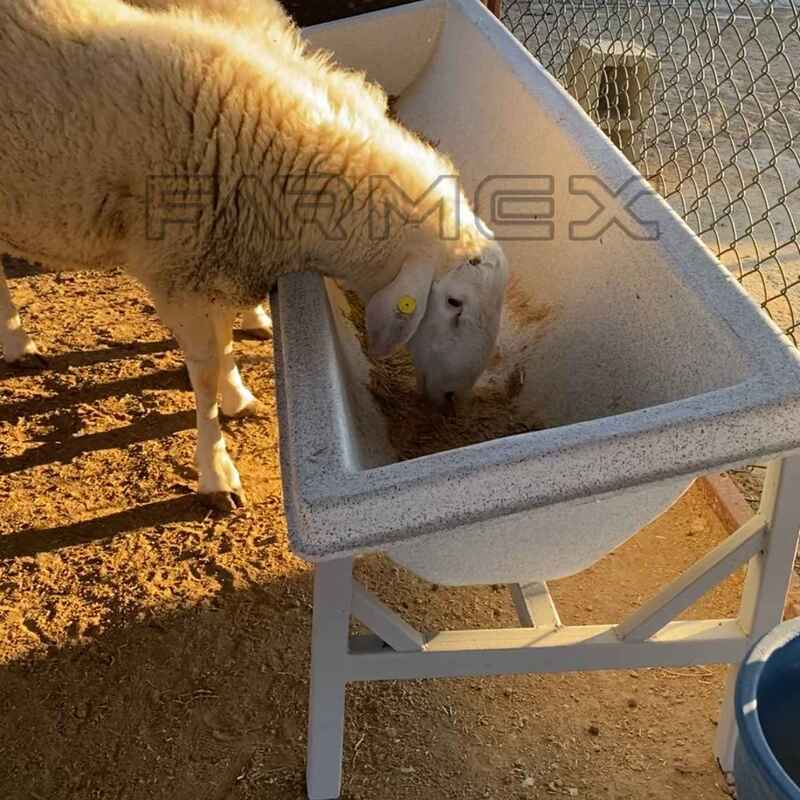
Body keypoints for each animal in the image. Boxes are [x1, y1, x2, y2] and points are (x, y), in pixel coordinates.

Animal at [0, 0, 508, 511]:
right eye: (454, 302)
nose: (453, 398)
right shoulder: (176, 271)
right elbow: (204, 374)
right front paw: (217, 472)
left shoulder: (218, 255)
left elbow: (223, 340)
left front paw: (237, 394)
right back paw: (19, 343)